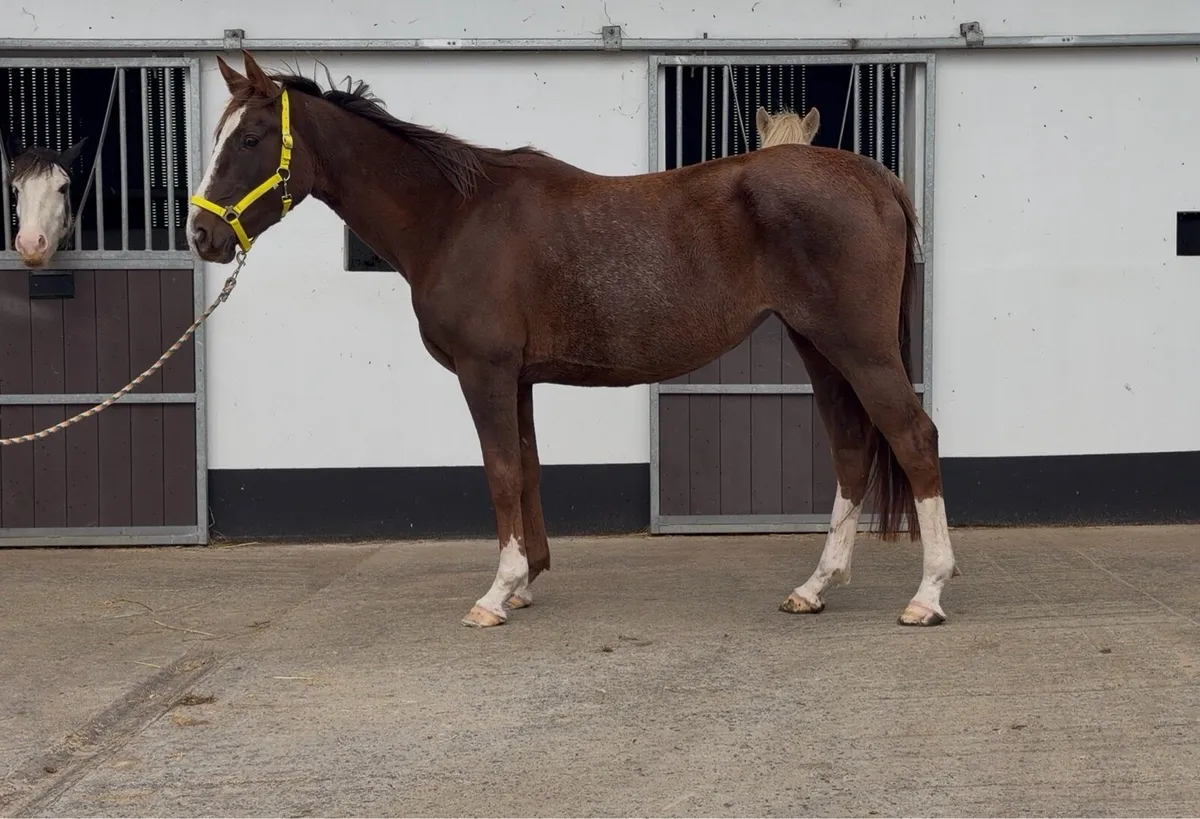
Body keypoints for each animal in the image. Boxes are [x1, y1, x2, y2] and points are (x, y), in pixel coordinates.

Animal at [187, 51, 959, 629]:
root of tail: (874, 177)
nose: (202, 236)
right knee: (853, 448)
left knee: (913, 437)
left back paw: (927, 594)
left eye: (250, 139)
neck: (456, 216)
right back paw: (815, 587)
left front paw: (495, 594)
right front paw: (526, 580)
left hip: (858, 347)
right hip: (818, 346)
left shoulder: (485, 372)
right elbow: (527, 468)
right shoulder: (518, 379)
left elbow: (501, 472)